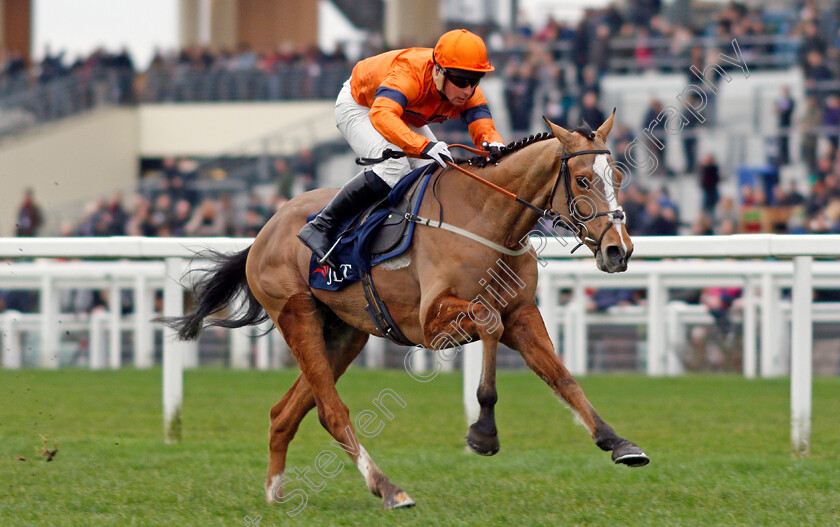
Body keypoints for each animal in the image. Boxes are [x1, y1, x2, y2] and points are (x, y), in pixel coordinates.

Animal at [162, 113, 648, 510]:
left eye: (617, 175)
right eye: (582, 180)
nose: (618, 251)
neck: (487, 219)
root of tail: (265, 229)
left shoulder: (523, 313)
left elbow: (562, 377)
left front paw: (618, 442)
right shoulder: (434, 323)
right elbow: (488, 323)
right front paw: (483, 432)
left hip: (345, 333)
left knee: (285, 413)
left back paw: (275, 492)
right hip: (296, 315)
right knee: (331, 412)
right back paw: (387, 488)